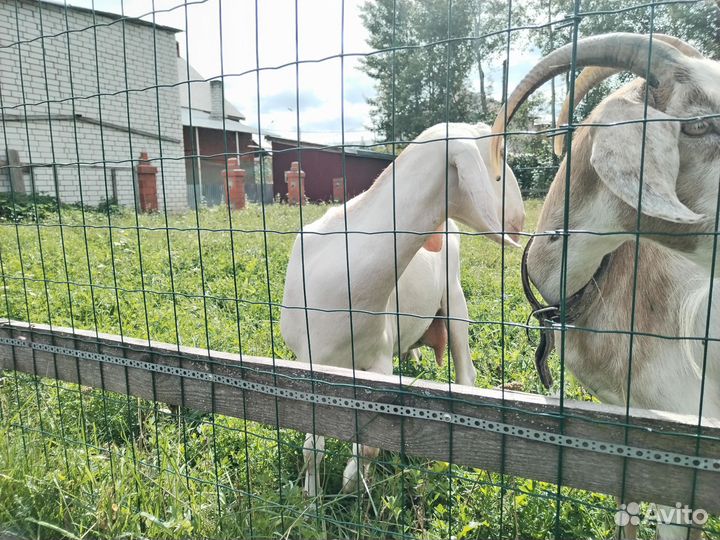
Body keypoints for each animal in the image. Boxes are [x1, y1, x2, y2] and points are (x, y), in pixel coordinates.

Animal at [280, 122, 525, 497]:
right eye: (497, 164)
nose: (520, 220)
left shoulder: (378, 361)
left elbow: (368, 446)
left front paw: (353, 486)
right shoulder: (309, 362)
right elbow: (312, 448)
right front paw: (311, 497)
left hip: (454, 297)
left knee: (466, 373)